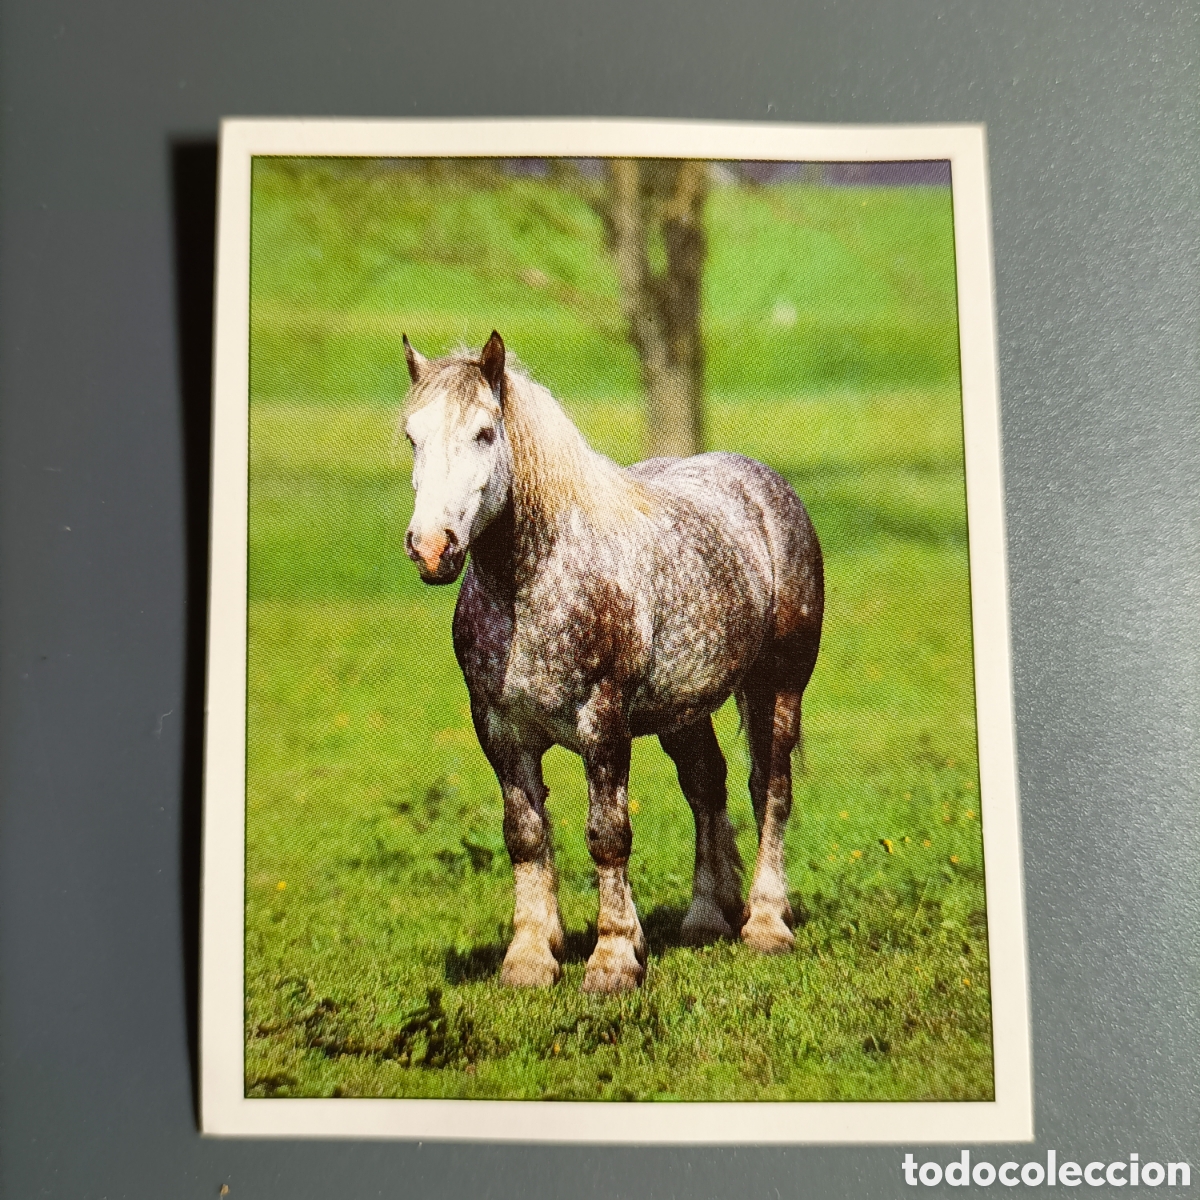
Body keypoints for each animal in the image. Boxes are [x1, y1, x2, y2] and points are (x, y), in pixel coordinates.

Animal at [399, 332, 823, 994]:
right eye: (412, 435)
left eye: (485, 433)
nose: (431, 547)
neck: (533, 584)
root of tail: (767, 486)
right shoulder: (500, 732)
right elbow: (525, 837)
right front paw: (529, 956)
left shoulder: (602, 726)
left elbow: (608, 835)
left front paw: (614, 958)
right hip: (685, 708)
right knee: (707, 786)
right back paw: (705, 918)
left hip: (778, 687)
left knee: (769, 790)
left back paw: (766, 924)